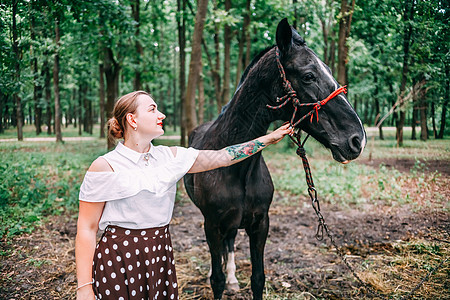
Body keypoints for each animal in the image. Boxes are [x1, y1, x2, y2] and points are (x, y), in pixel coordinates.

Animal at [183, 19, 366, 300]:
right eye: (308, 76)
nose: (358, 139)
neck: (235, 167)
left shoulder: (260, 224)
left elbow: (258, 278)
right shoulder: (212, 225)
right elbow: (217, 279)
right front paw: (220, 276)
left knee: (231, 242)